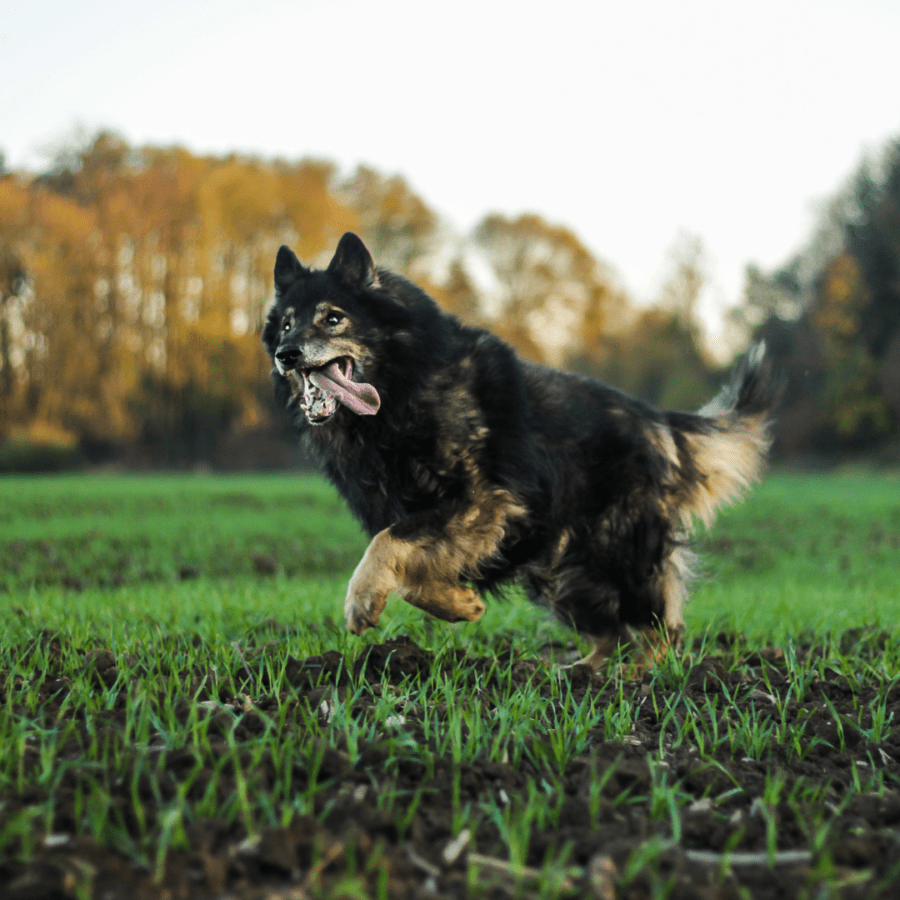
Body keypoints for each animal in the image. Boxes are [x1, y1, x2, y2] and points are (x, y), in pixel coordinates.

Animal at [260, 232, 772, 668]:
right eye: (286, 323)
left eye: (333, 317)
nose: (286, 354)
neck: (403, 390)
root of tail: (658, 419)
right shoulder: (436, 515)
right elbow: (408, 569)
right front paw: (459, 604)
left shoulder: (479, 500)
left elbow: (387, 546)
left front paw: (361, 599)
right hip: (561, 576)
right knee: (615, 634)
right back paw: (580, 674)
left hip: (621, 557)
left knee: (659, 630)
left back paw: (634, 677)